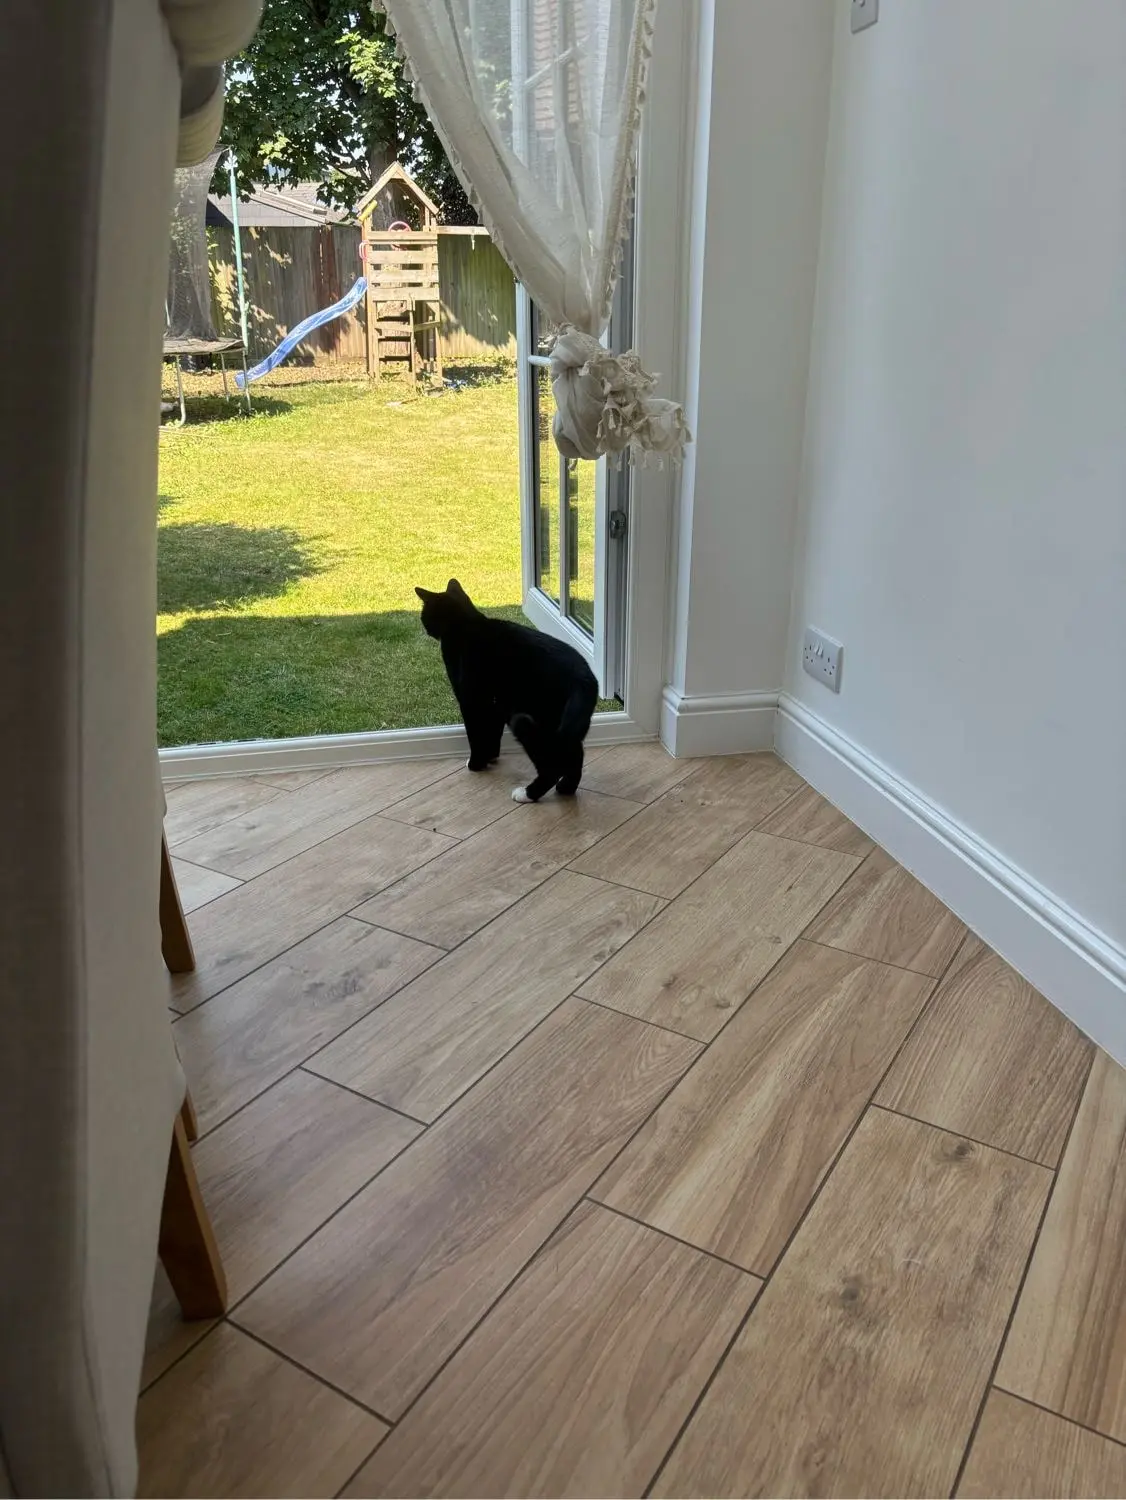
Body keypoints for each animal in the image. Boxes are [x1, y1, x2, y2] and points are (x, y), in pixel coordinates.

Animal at [415, 579, 599, 803]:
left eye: (424, 614)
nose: (423, 625)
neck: (466, 624)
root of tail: (584, 677)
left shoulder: (471, 699)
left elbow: (475, 734)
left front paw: (476, 764)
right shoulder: (496, 701)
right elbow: (493, 731)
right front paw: (491, 757)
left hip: (528, 720)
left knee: (552, 764)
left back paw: (527, 793)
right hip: (569, 722)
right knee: (575, 752)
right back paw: (566, 788)